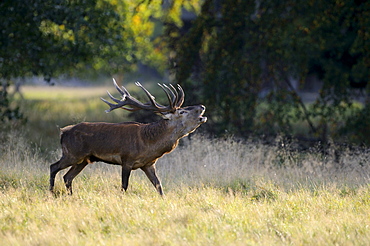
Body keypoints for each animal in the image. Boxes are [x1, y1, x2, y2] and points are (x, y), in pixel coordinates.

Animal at [49, 80, 207, 195]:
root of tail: (63, 132)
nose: (202, 106)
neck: (148, 144)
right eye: (182, 111)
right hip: (72, 153)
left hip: (83, 159)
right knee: (53, 167)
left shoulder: (148, 164)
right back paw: (51, 192)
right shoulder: (127, 159)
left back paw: (71, 195)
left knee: (67, 177)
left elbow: (159, 185)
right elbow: (124, 186)